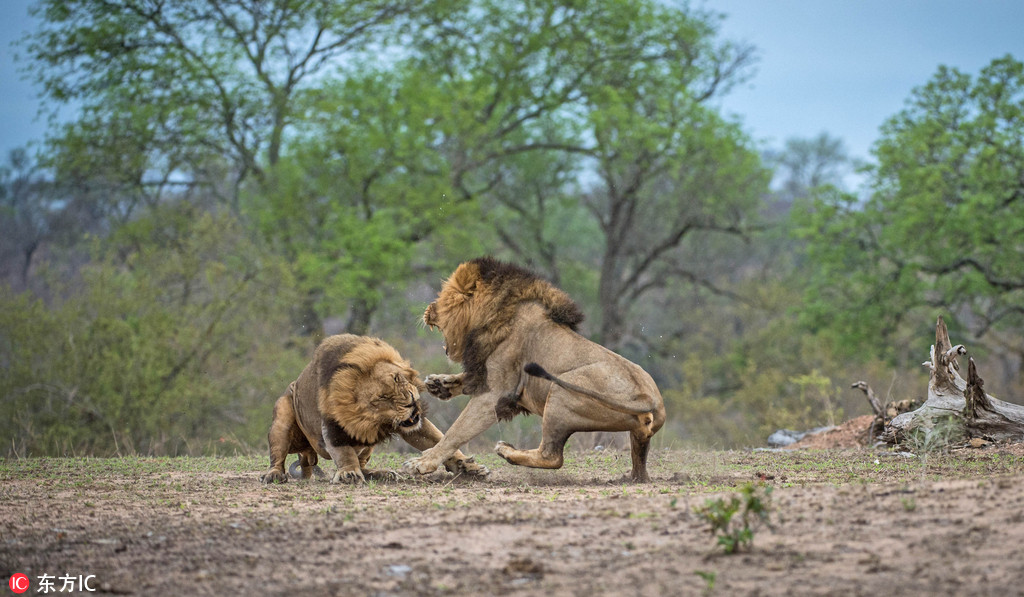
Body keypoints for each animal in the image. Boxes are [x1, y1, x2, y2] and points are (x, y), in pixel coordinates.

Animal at [262, 333, 489, 487]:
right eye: (382, 398)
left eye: (397, 378)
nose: (410, 402)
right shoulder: (334, 425)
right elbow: (344, 452)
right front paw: (349, 474)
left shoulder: (414, 425)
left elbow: (438, 440)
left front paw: (469, 467)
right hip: (283, 417)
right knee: (277, 455)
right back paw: (273, 475)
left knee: (364, 465)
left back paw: (383, 474)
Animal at [403, 259, 667, 483]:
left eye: (443, 298)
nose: (428, 309)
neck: (492, 316)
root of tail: (651, 400)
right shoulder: (484, 373)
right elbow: (466, 381)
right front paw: (439, 383)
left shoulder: (496, 394)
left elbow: (455, 432)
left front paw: (422, 463)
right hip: (636, 435)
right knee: (640, 469)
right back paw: (632, 477)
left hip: (562, 392)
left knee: (552, 457)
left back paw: (507, 451)